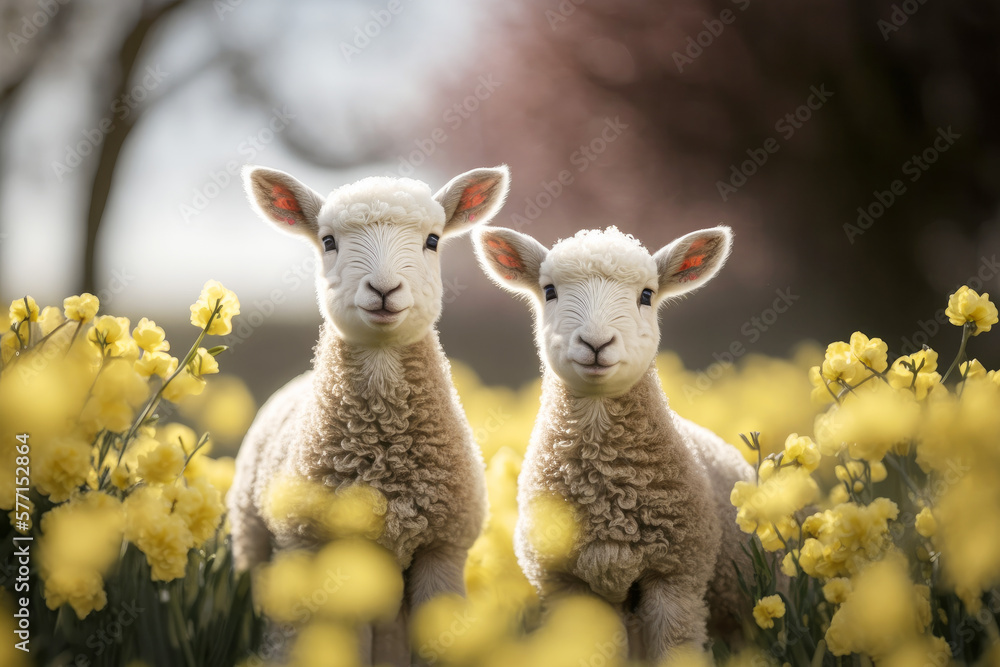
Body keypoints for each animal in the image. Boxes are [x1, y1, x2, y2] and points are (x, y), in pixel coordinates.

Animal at [228, 164, 510, 665]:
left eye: (433, 240)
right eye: (328, 241)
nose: (383, 290)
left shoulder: (443, 547)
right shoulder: (325, 550)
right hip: (255, 542)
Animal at [473, 225, 754, 661]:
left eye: (647, 295)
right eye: (549, 290)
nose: (596, 343)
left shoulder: (677, 575)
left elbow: (675, 651)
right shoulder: (567, 583)